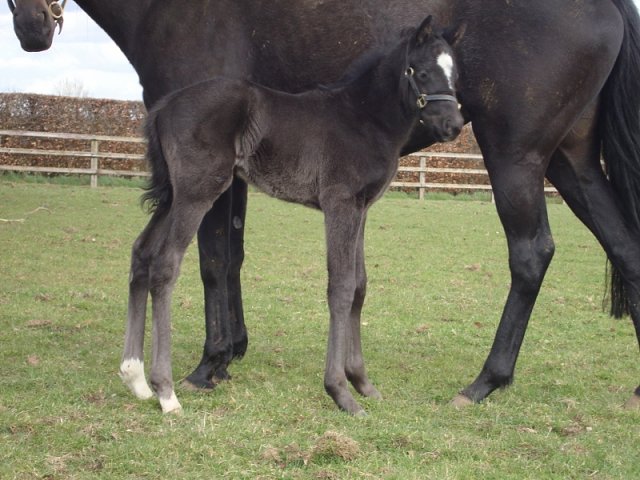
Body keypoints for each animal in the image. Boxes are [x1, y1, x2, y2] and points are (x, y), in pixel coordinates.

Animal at [8, 0, 640, 412]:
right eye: (417, 69)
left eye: (457, 71)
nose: (450, 124)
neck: (356, 114)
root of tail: (165, 108)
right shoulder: (339, 204)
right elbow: (331, 285)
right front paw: (337, 391)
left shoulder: (358, 208)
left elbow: (354, 286)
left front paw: (359, 383)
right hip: (193, 191)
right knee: (161, 263)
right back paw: (162, 391)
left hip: (529, 154)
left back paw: (138, 379)